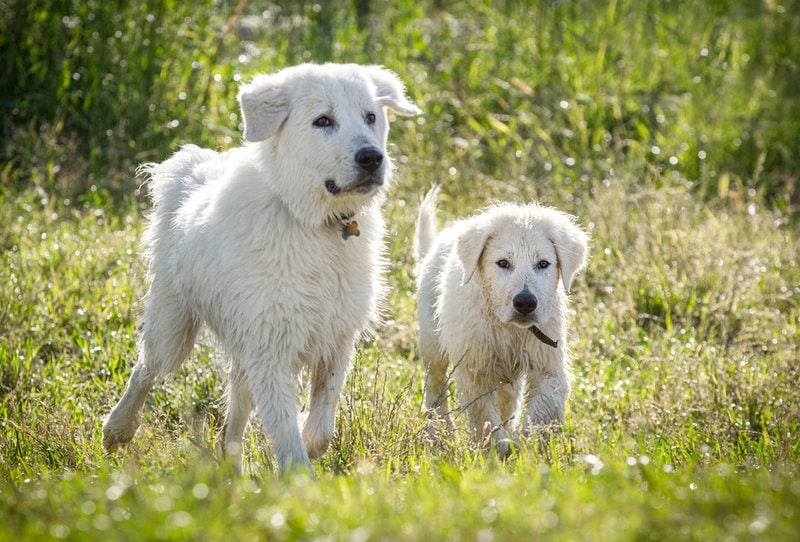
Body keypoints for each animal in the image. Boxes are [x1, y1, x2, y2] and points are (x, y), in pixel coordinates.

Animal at [103, 61, 422, 474]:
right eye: (323, 120)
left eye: (370, 117)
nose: (372, 158)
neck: (314, 226)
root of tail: (195, 171)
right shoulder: (270, 350)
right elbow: (289, 441)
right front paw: (299, 478)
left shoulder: (334, 340)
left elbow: (321, 425)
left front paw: (308, 439)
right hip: (174, 327)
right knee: (145, 369)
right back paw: (117, 429)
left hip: (240, 352)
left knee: (233, 422)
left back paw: (230, 468)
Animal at [416, 187, 592, 454]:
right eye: (503, 263)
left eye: (543, 264)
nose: (525, 303)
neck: (507, 327)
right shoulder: (474, 369)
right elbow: (485, 418)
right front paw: (496, 452)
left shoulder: (548, 363)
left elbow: (542, 412)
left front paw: (525, 447)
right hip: (432, 342)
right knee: (435, 388)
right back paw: (438, 434)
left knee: (508, 400)